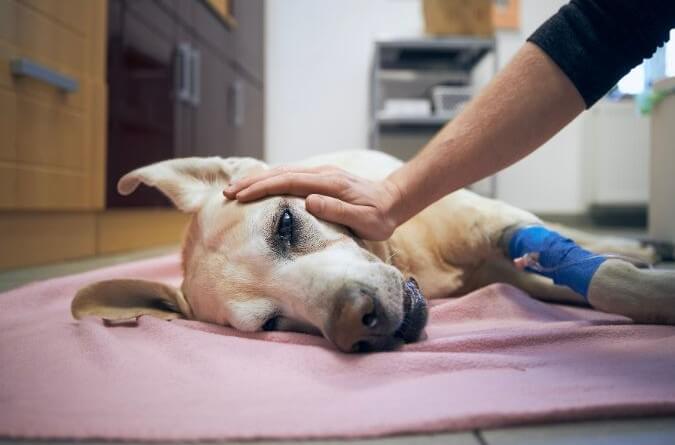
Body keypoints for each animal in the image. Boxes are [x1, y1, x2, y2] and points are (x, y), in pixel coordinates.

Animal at [70, 151, 675, 352]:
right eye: (271, 324)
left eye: (285, 223)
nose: (357, 322)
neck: (410, 258)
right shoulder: (516, 271)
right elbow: (589, 281)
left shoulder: (499, 224)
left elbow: (608, 279)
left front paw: (651, 286)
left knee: (584, 239)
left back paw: (636, 243)